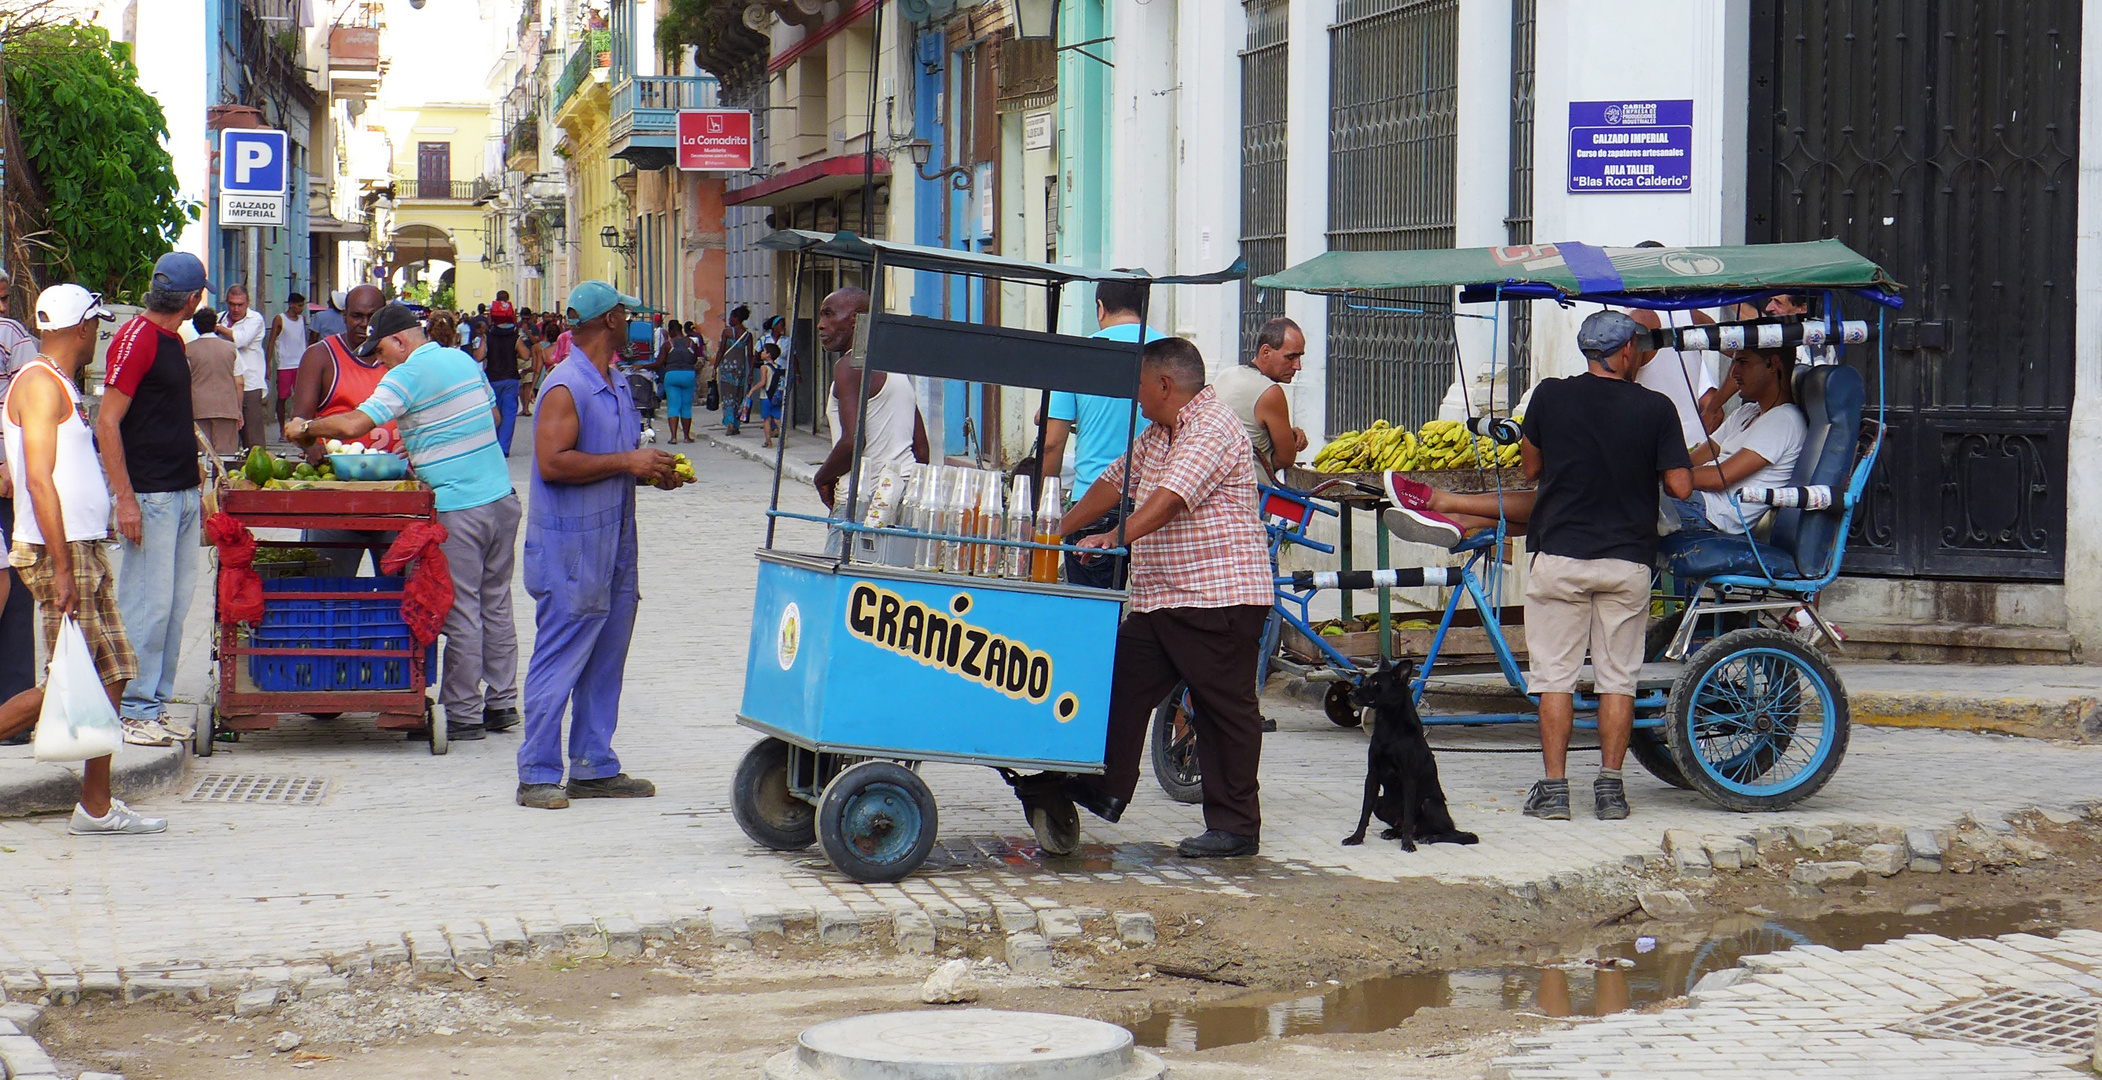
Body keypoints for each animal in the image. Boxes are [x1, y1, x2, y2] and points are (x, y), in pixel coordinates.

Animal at [1345, 655, 1479, 848]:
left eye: (1376, 683)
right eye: (1366, 682)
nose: (1350, 694)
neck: (1389, 729)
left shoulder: (1409, 778)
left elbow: (1408, 815)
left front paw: (1407, 844)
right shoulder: (1372, 776)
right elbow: (1365, 812)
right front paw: (1356, 837)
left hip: (1430, 804)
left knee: (1450, 833)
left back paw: (1429, 837)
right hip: (1381, 802)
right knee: (1403, 825)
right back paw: (1394, 832)